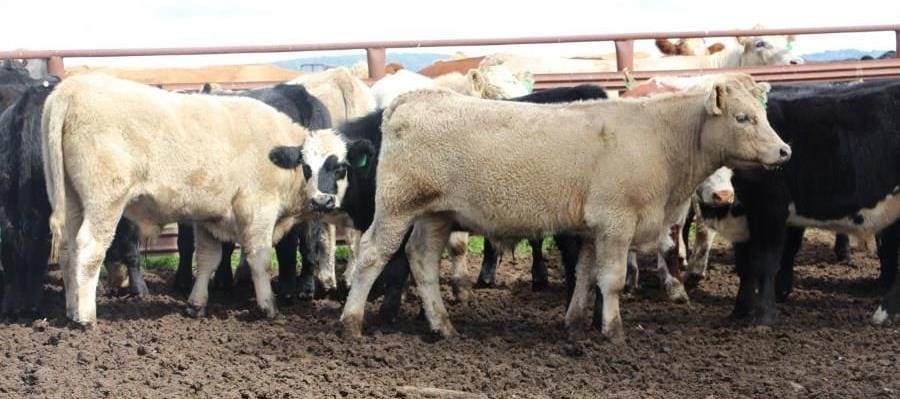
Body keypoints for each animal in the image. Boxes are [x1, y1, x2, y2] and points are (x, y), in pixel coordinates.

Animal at [342, 74, 792, 344]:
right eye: (742, 117)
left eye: (763, 113)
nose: (785, 151)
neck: (660, 137)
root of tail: (412, 99)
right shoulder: (616, 222)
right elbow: (611, 280)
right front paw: (612, 332)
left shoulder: (595, 228)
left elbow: (586, 276)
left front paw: (574, 323)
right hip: (398, 205)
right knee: (372, 255)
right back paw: (351, 322)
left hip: (436, 214)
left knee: (421, 259)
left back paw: (443, 325)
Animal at [708, 80, 896, 324]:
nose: (721, 195)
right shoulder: (745, 217)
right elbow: (745, 266)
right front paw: (739, 312)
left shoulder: (770, 208)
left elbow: (765, 263)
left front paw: (764, 316)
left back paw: (884, 312)